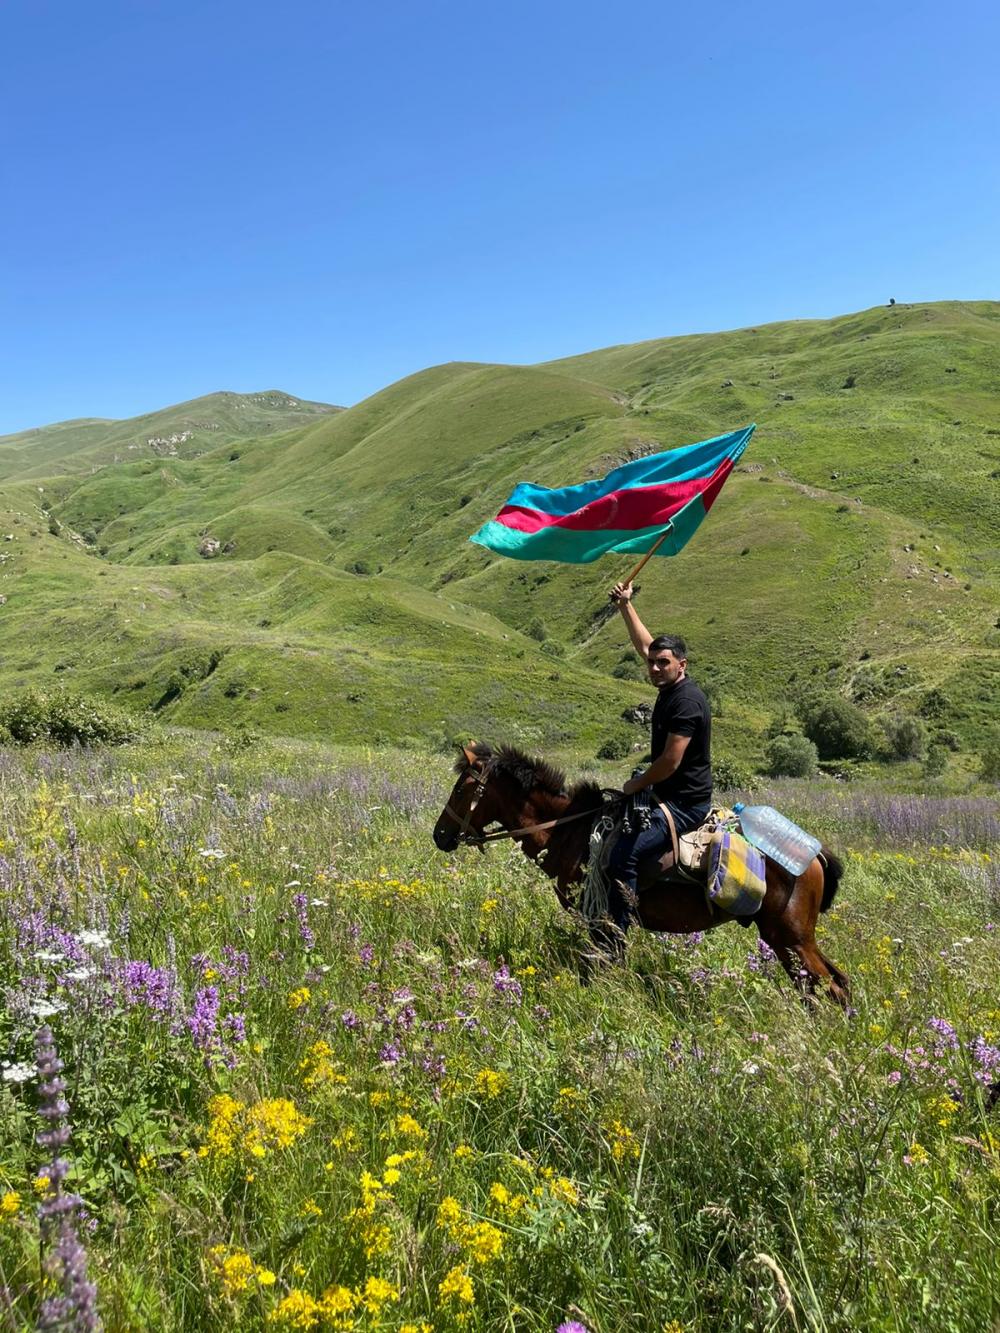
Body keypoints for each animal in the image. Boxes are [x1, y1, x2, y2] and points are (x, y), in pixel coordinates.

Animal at [433, 742, 851, 1006]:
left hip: (789, 936)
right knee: (829, 984)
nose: (439, 835)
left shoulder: (602, 917)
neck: (571, 831)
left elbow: (599, 963)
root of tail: (815, 855)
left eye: (461, 789)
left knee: (828, 987)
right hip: (793, 939)